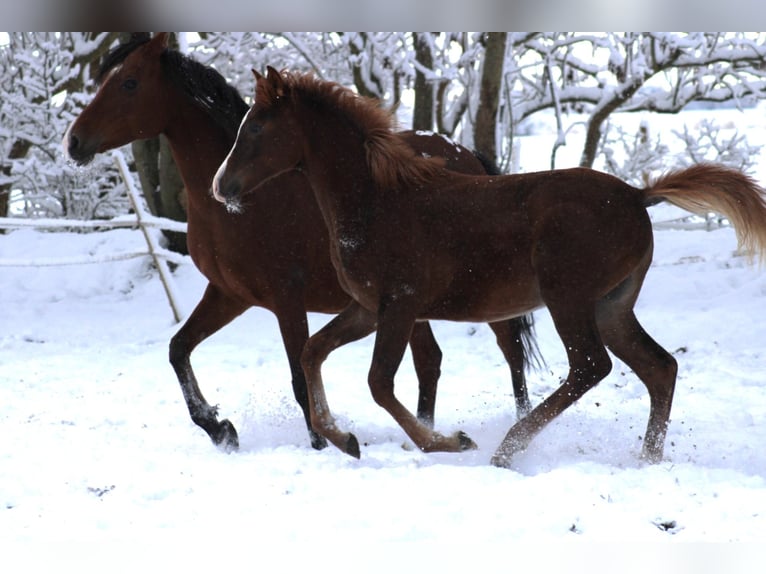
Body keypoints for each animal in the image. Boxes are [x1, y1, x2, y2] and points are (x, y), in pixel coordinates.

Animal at [63, 33, 540, 452]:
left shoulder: (287, 299)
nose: (74, 141)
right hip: (412, 306)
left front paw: (321, 444)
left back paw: (515, 428)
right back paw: (429, 435)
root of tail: (465, 154)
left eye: (128, 82)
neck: (244, 206)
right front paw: (220, 429)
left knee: (511, 351)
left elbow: (299, 379)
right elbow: (178, 350)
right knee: (431, 363)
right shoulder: (229, 295)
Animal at [213, 67, 766, 466]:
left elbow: (379, 383)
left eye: (255, 127)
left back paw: (508, 448)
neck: (375, 200)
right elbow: (312, 353)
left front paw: (448, 442)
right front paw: (344, 439)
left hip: (568, 297)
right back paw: (646, 459)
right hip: (612, 306)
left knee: (591, 366)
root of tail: (636, 194)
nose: (221, 187)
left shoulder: (401, 305)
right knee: (658, 367)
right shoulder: (368, 308)